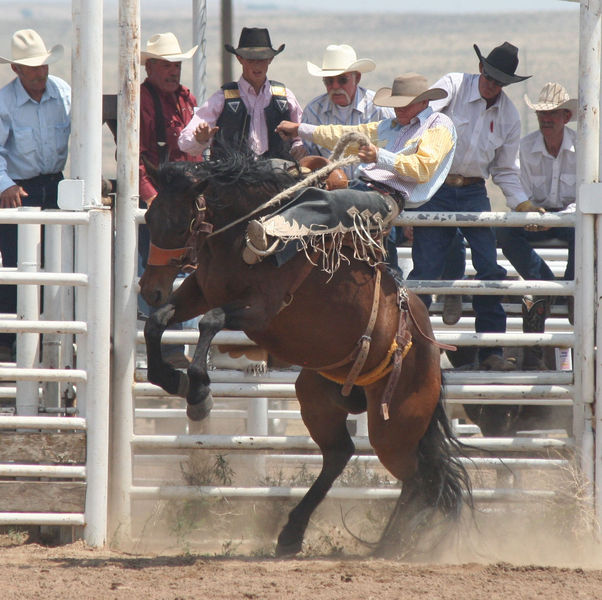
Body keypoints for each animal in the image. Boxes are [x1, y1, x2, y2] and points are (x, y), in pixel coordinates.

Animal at [138, 152, 472, 556]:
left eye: (179, 222)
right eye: (150, 218)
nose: (150, 289)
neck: (244, 239)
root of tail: (432, 354)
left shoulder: (262, 310)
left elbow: (210, 322)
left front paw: (200, 393)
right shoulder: (199, 291)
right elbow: (158, 322)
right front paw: (173, 380)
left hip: (393, 427)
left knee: (420, 477)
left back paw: (393, 545)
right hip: (318, 396)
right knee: (341, 453)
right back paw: (294, 533)